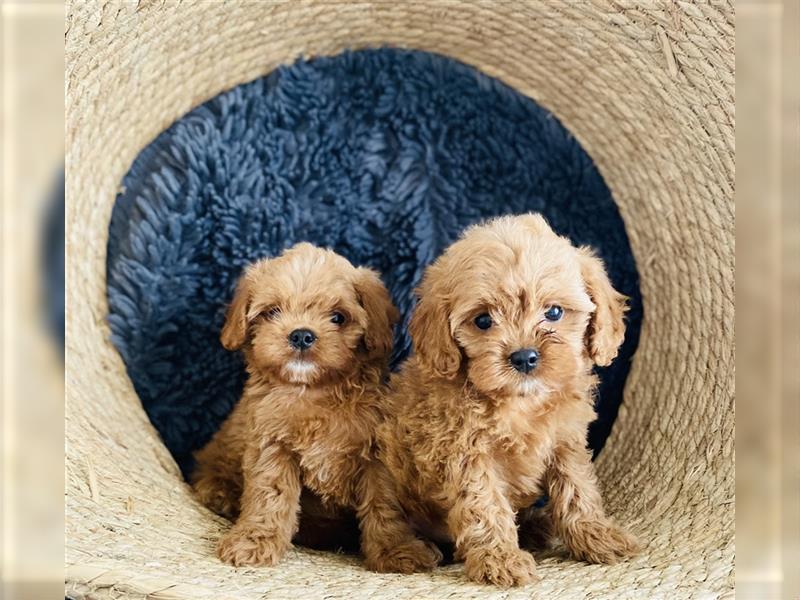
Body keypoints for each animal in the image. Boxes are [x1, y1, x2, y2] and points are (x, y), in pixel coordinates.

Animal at [195, 241, 444, 576]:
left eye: (338, 317)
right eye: (272, 311)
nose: (301, 335)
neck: (314, 393)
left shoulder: (376, 456)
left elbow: (384, 504)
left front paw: (397, 551)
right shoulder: (271, 445)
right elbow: (269, 495)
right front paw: (254, 541)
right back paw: (219, 492)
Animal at [378, 214, 640, 584]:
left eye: (554, 312)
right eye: (483, 320)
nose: (525, 357)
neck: (521, 402)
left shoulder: (565, 442)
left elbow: (577, 489)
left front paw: (597, 535)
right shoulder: (466, 453)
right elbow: (484, 503)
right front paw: (498, 559)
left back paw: (536, 527)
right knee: (383, 518)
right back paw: (403, 552)